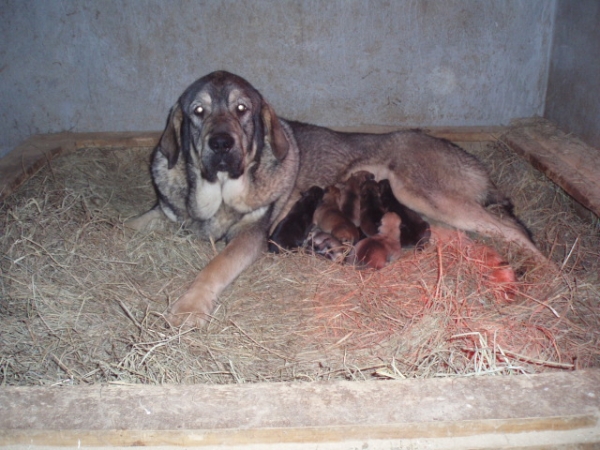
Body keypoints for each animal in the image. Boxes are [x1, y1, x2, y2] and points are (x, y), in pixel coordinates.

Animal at [126, 70, 544, 326]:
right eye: (198, 111)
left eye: (241, 109)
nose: (221, 144)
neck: (218, 195)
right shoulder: (165, 210)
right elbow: (134, 222)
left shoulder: (252, 235)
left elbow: (215, 266)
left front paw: (189, 306)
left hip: (426, 194)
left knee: (511, 230)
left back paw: (544, 273)